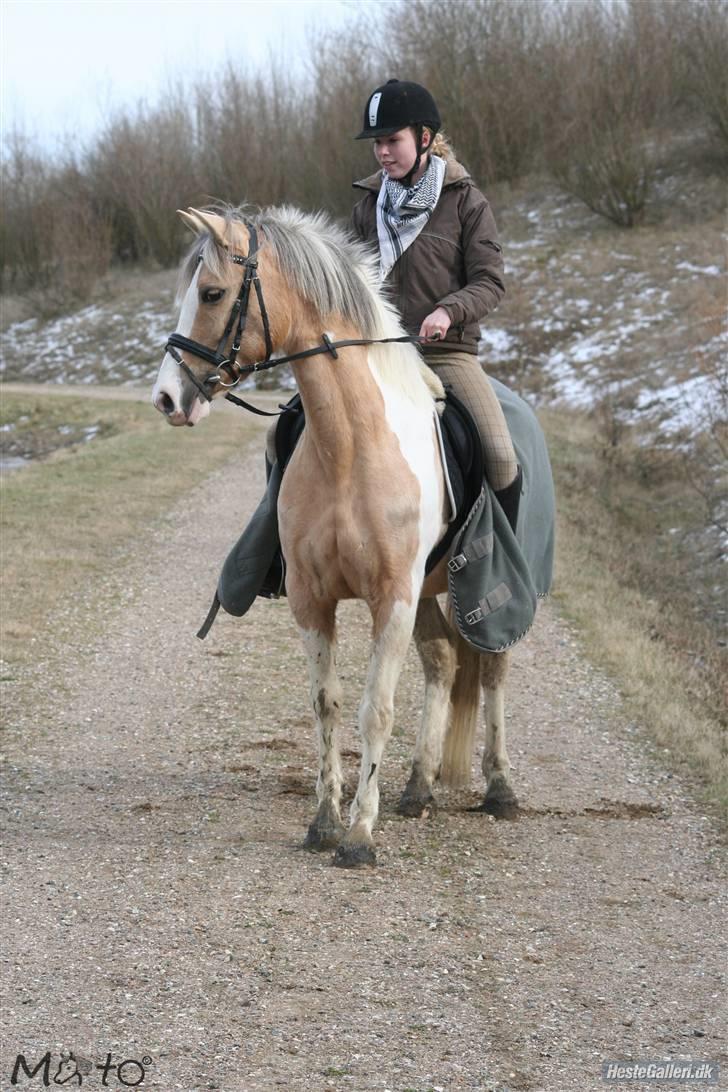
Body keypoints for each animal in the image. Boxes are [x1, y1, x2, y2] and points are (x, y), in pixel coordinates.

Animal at [152, 206, 517, 869]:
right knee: (444, 663)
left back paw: (500, 788)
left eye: (212, 293)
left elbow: (376, 712)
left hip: (482, 587)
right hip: (428, 594)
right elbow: (327, 704)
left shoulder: (391, 600)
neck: (351, 446)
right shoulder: (313, 599)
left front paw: (359, 835)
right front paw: (324, 820)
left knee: (493, 666)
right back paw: (419, 788)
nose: (167, 398)